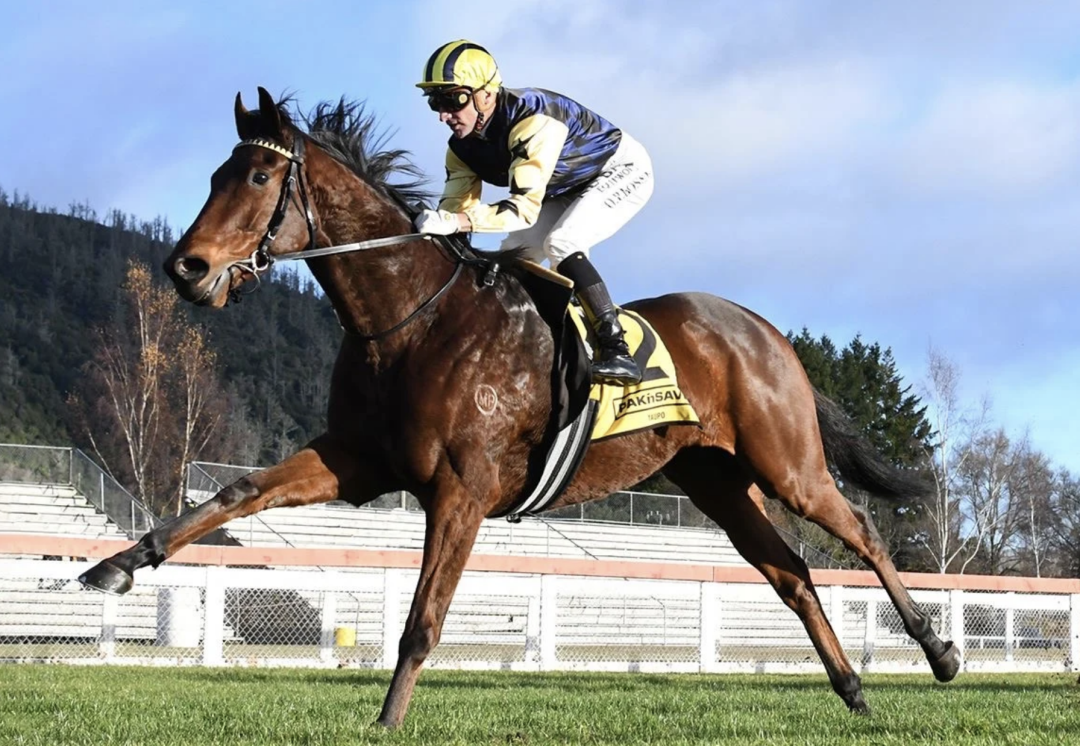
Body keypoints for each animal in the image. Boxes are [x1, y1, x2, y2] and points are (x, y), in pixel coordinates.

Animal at [78, 87, 959, 727]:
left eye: (259, 179)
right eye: (214, 178)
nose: (187, 267)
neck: (412, 318)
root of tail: (766, 331)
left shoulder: (461, 489)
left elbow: (423, 619)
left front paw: (387, 721)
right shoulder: (356, 461)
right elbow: (235, 493)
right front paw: (117, 565)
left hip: (786, 463)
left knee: (863, 532)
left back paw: (939, 651)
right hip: (717, 481)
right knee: (794, 574)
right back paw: (853, 691)